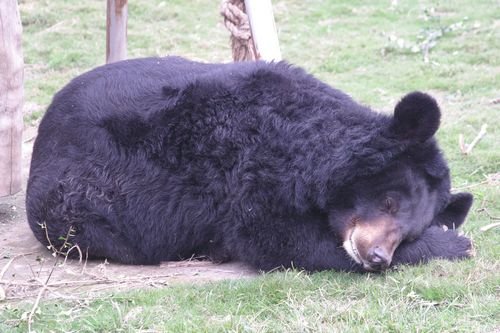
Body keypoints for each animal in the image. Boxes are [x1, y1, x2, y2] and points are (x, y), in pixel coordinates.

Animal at [25, 55, 474, 272]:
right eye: (389, 202)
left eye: (407, 232)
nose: (377, 256)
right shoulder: (252, 167)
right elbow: (277, 239)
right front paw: (457, 244)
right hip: (82, 196)